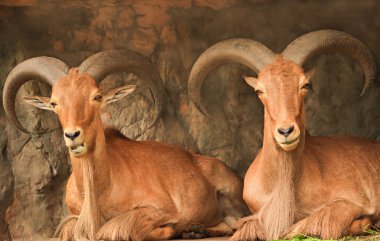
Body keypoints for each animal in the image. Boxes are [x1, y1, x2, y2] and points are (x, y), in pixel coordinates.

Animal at [4, 50, 248, 240]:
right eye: (55, 103)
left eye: (97, 97)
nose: (73, 135)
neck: (102, 191)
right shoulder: (73, 216)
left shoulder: (160, 209)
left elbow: (123, 228)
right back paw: (196, 230)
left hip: (232, 194)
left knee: (236, 222)